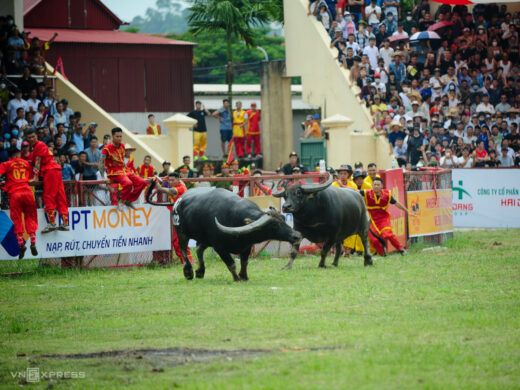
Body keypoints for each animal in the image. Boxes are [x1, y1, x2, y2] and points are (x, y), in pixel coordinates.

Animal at [153, 187, 300, 282]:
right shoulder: (219, 247)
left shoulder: (246, 246)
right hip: (182, 233)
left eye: (283, 218)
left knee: (199, 249)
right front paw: (236, 278)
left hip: (204, 239)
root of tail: (178, 201)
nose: (296, 236)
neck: (236, 220)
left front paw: (244, 276)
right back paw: (189, 272)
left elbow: (244, 262)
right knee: (183, 249)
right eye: (274, 225)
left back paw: (200, 271)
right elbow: (231, 264)